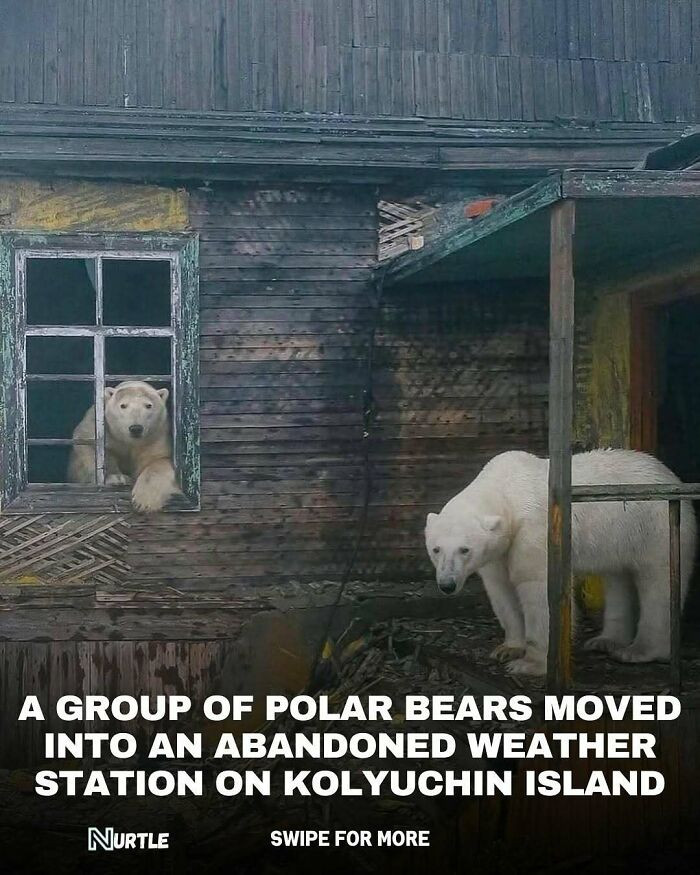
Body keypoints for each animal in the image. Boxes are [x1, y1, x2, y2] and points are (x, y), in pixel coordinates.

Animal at [67, 380, 182, 513]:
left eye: (148, 405)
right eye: (123, 405)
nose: (136, 428)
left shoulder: (157, 436)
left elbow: (159, 461)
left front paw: (143, 502)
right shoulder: (99, 426)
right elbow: (89, 444)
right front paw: (117, 478)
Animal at [425, 449, 696, 677]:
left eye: (464, 549)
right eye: (436, 549)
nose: (447, 585)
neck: (506, 490)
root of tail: (669, 475)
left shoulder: (534, 532)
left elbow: (537, 589)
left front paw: (530, 664)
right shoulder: (499, 551)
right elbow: (501, 590)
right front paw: (508, 649)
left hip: (654, 526)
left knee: (658, 584)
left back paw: (638, 650)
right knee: (617, 578)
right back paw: (606, 640)